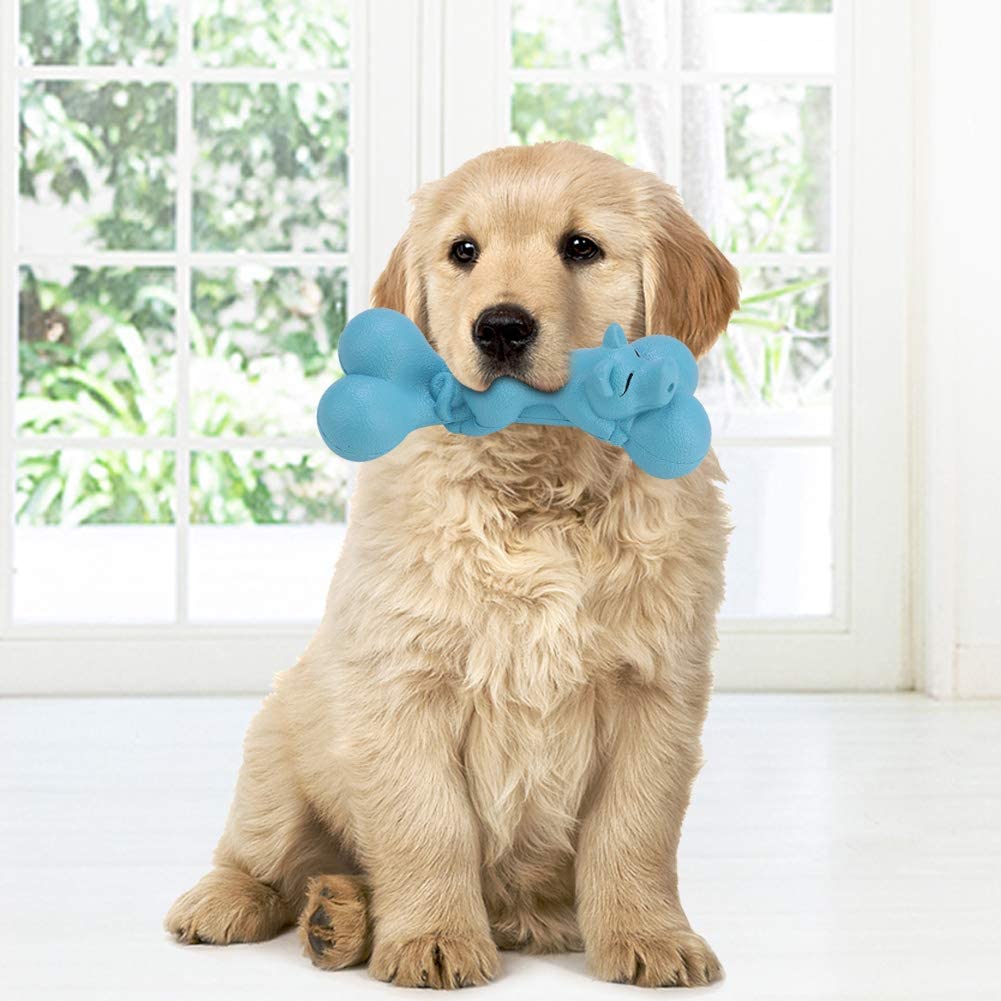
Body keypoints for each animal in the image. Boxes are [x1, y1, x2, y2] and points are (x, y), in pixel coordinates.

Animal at [164, 139, 740, 984]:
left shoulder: (656, 692)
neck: (538, 485)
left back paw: (339, 913)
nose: (499, 328)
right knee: (264, 856)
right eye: (463, 251)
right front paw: (434, 936)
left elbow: (633, 830)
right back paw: (247, 904)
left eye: (581, 247)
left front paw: (649, 936)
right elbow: (426, 823)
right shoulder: (403, 686)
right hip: (276, 752)